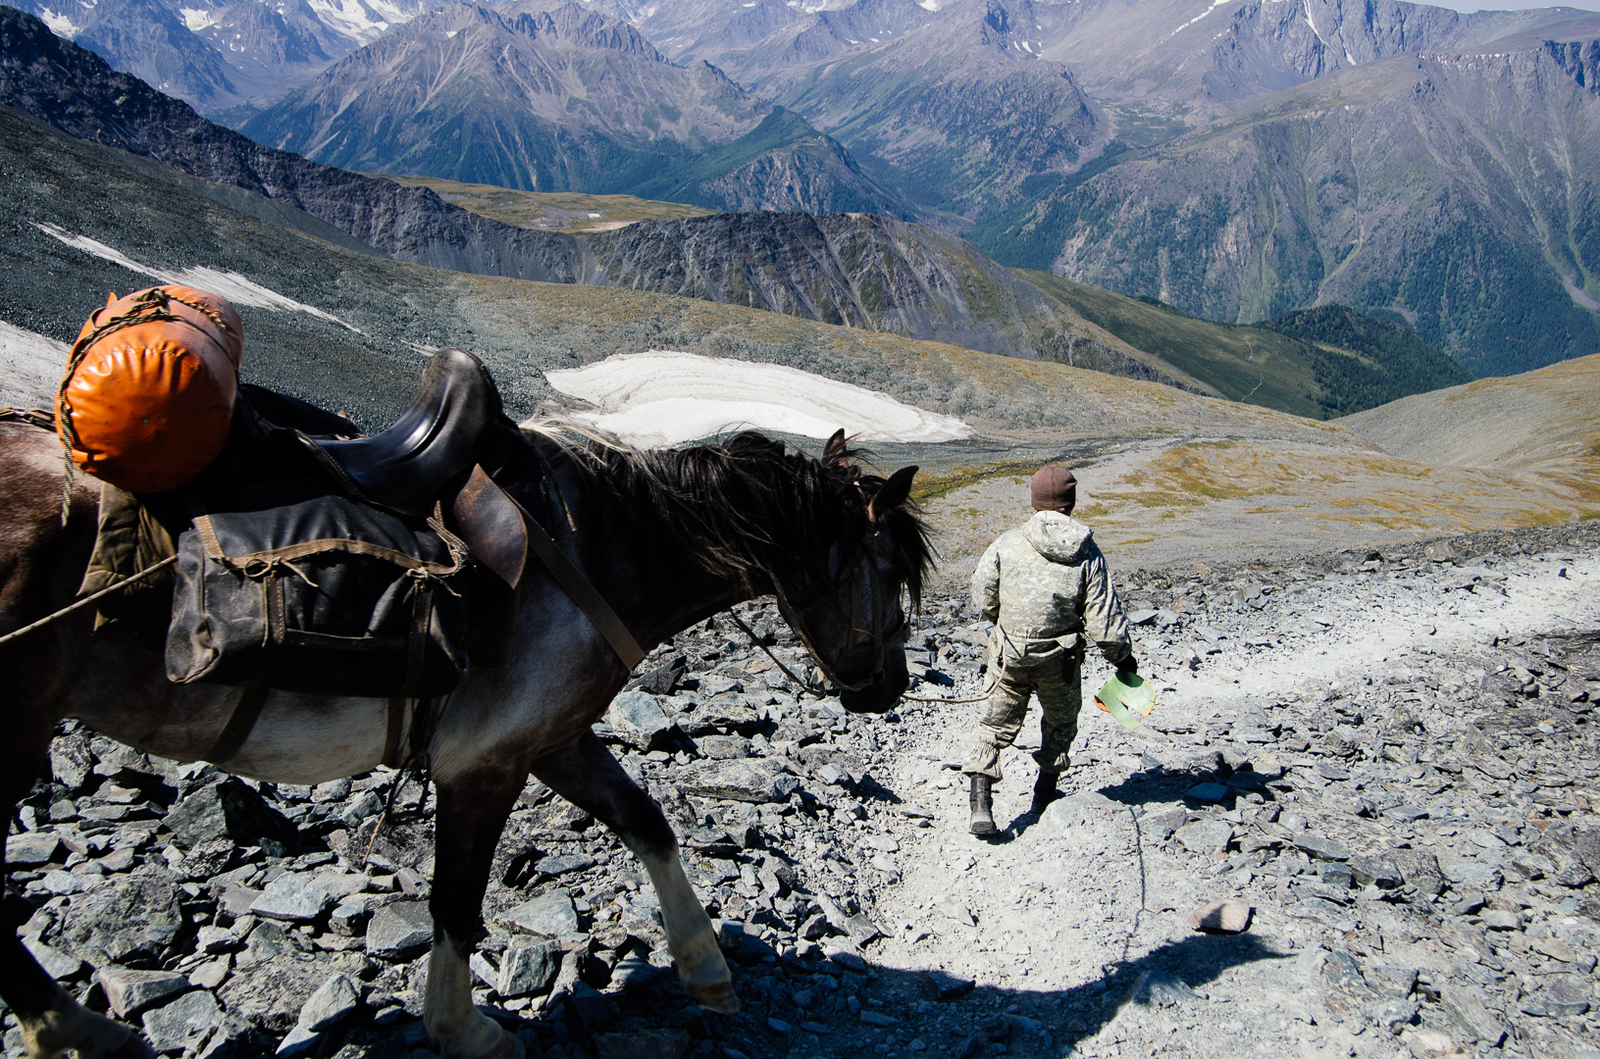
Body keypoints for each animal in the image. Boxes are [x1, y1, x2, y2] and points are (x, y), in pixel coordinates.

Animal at [0, 355, 934, 1059]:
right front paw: (462, 1029)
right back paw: (83, 1032)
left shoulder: (551, 737)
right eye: (890, 570)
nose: (889, 687)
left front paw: (706, 965)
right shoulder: (483, 763)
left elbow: (647, 820)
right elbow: (457, 898)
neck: (606, 544)